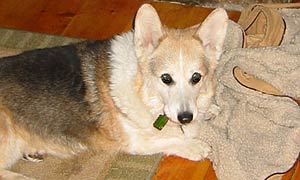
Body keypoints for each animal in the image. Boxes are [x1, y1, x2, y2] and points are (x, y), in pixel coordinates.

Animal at [0, 4, 227, 180]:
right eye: (166, 78)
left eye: (196, 78)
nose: (185, 118)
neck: (144, 91)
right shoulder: (135, 141)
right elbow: (166, 140)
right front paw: (195, 146)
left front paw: (210, 109)